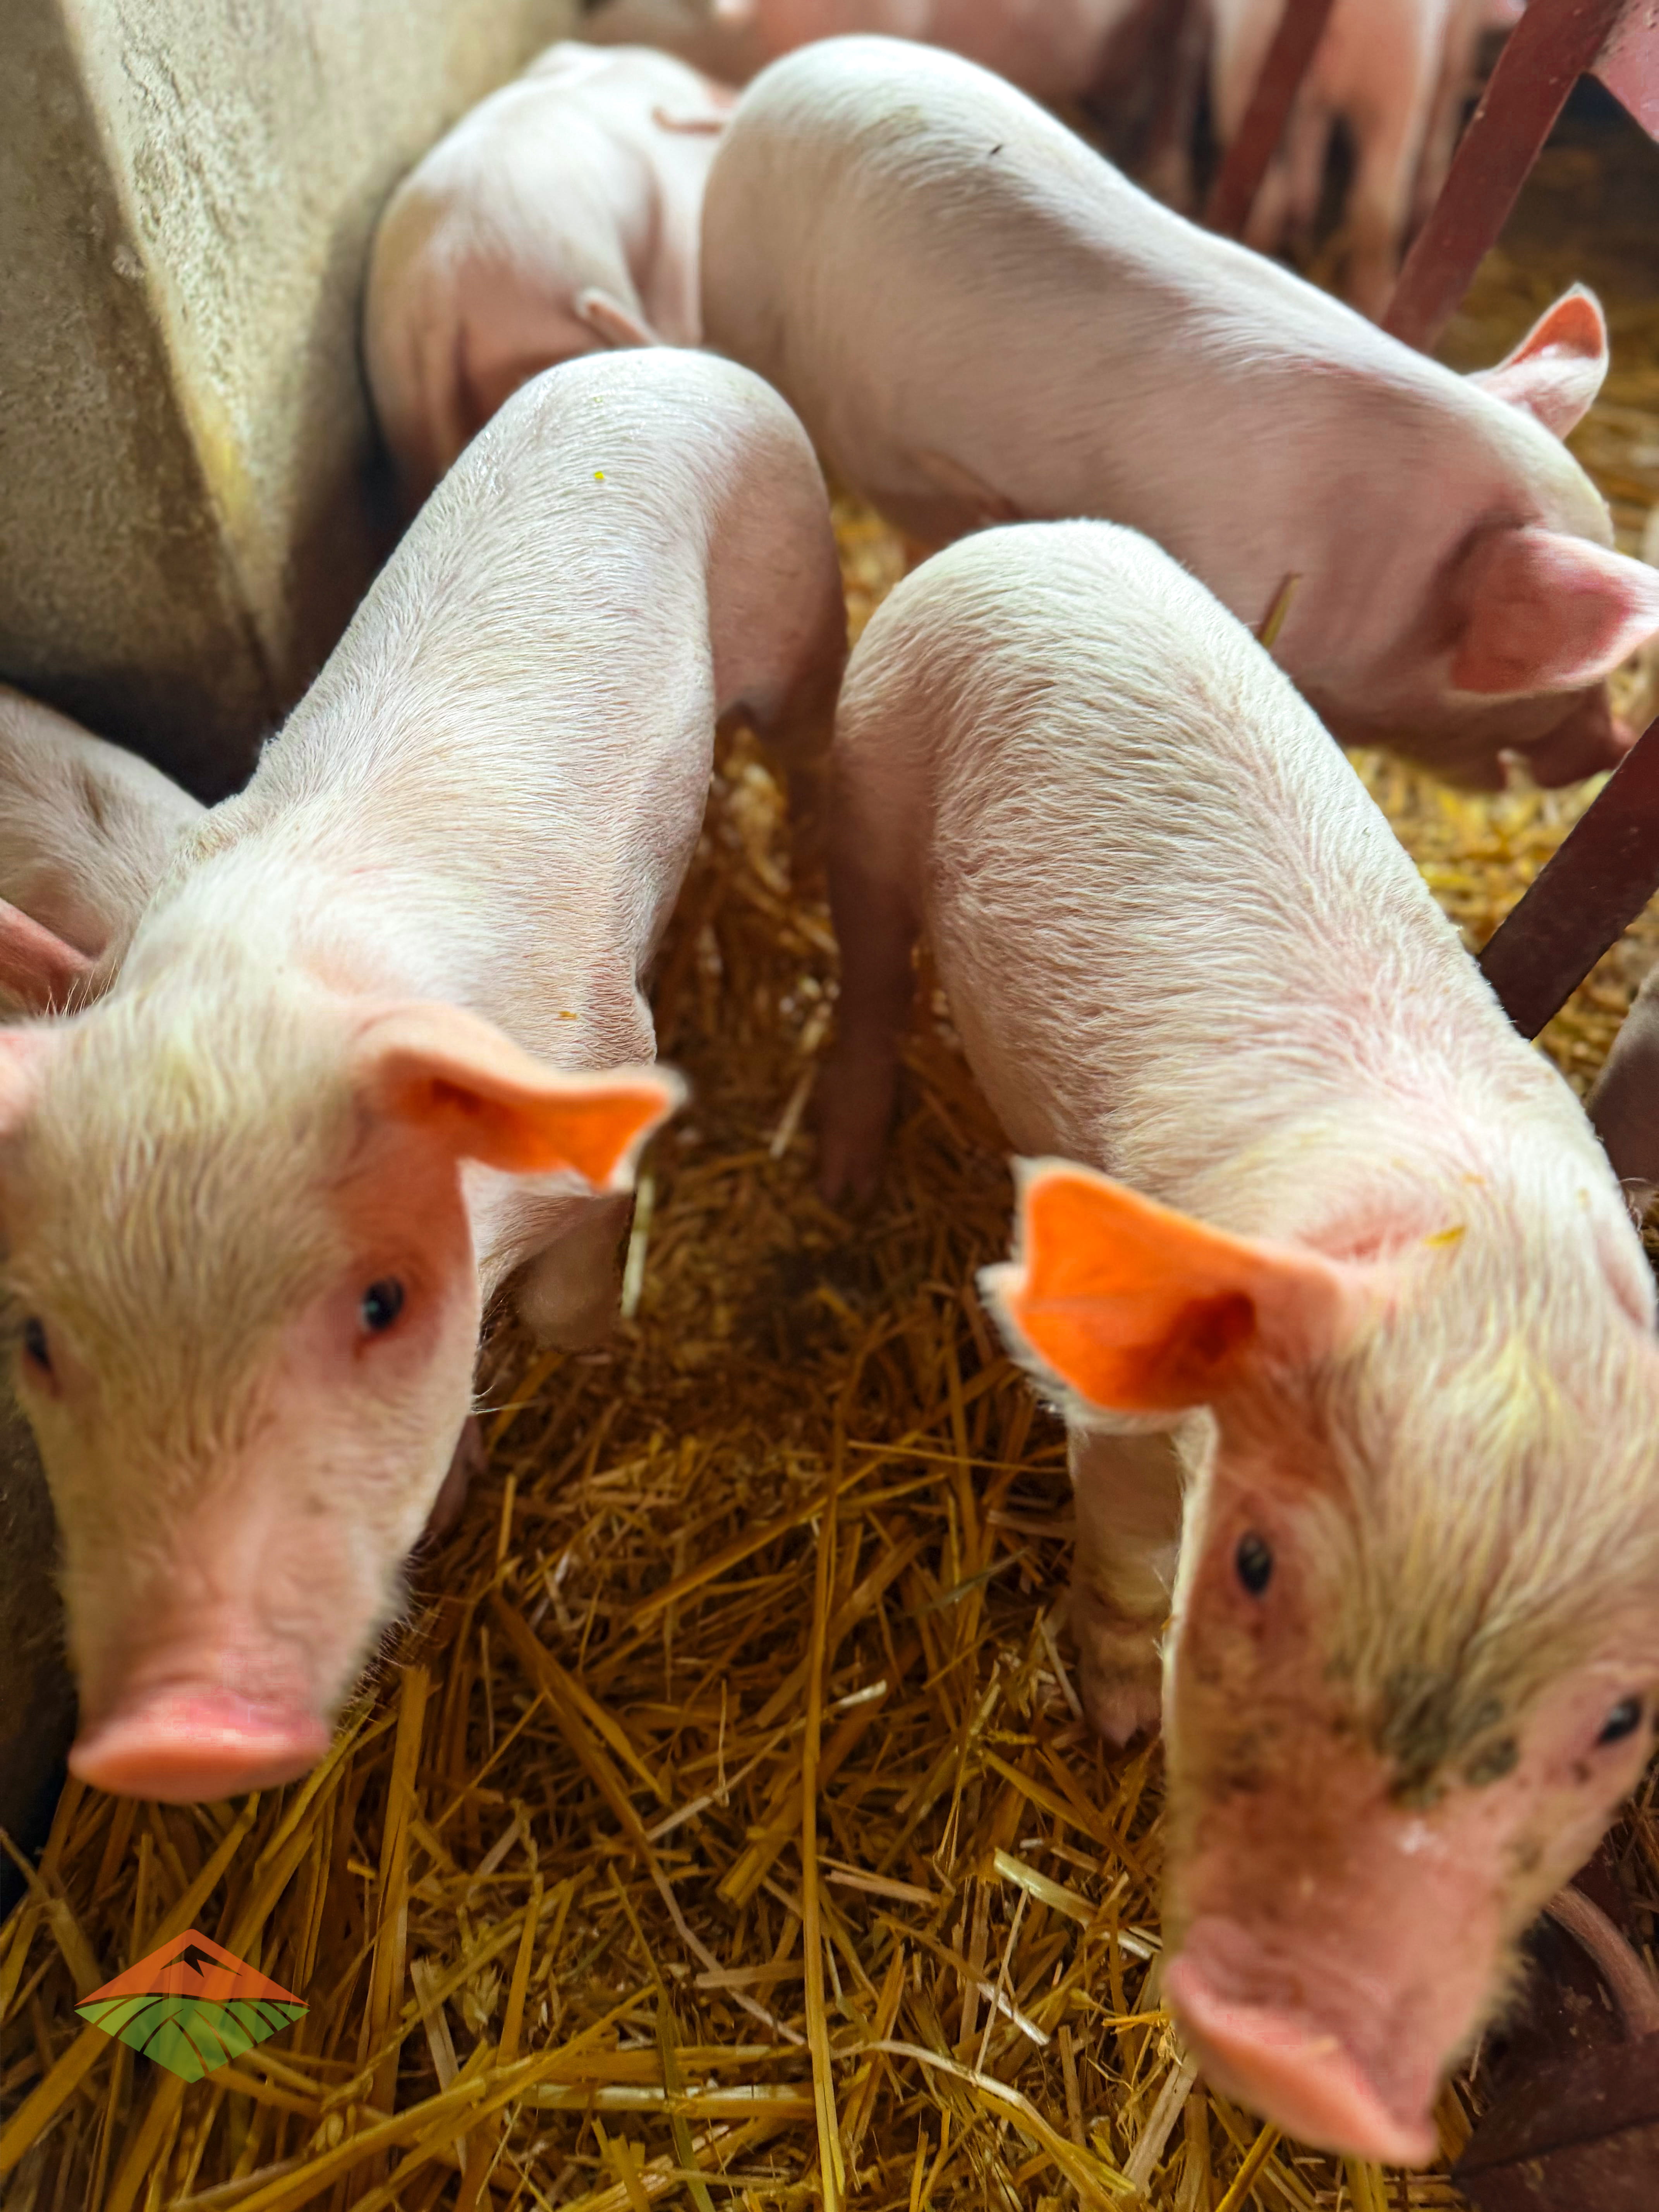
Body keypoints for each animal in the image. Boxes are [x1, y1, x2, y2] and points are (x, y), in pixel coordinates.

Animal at [0, 347, 846, 1804]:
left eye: (382, 1300)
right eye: (39, 1338)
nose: (171, 1733)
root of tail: (655, 357)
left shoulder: (610, 1053)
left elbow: (566, 1296)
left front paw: (578, 1354)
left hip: (800, 587)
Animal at [819, 518, 1659, 2163]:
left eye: (1618, 1713)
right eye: (1258, 1563)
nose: (1304, 2055)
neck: (1483, 1277)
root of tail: (1029, 539)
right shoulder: (1130, 1405)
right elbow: (1128, 1543)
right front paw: (1112, 1722)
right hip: (871, 762)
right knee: (869, 968)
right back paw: (841, 1169)